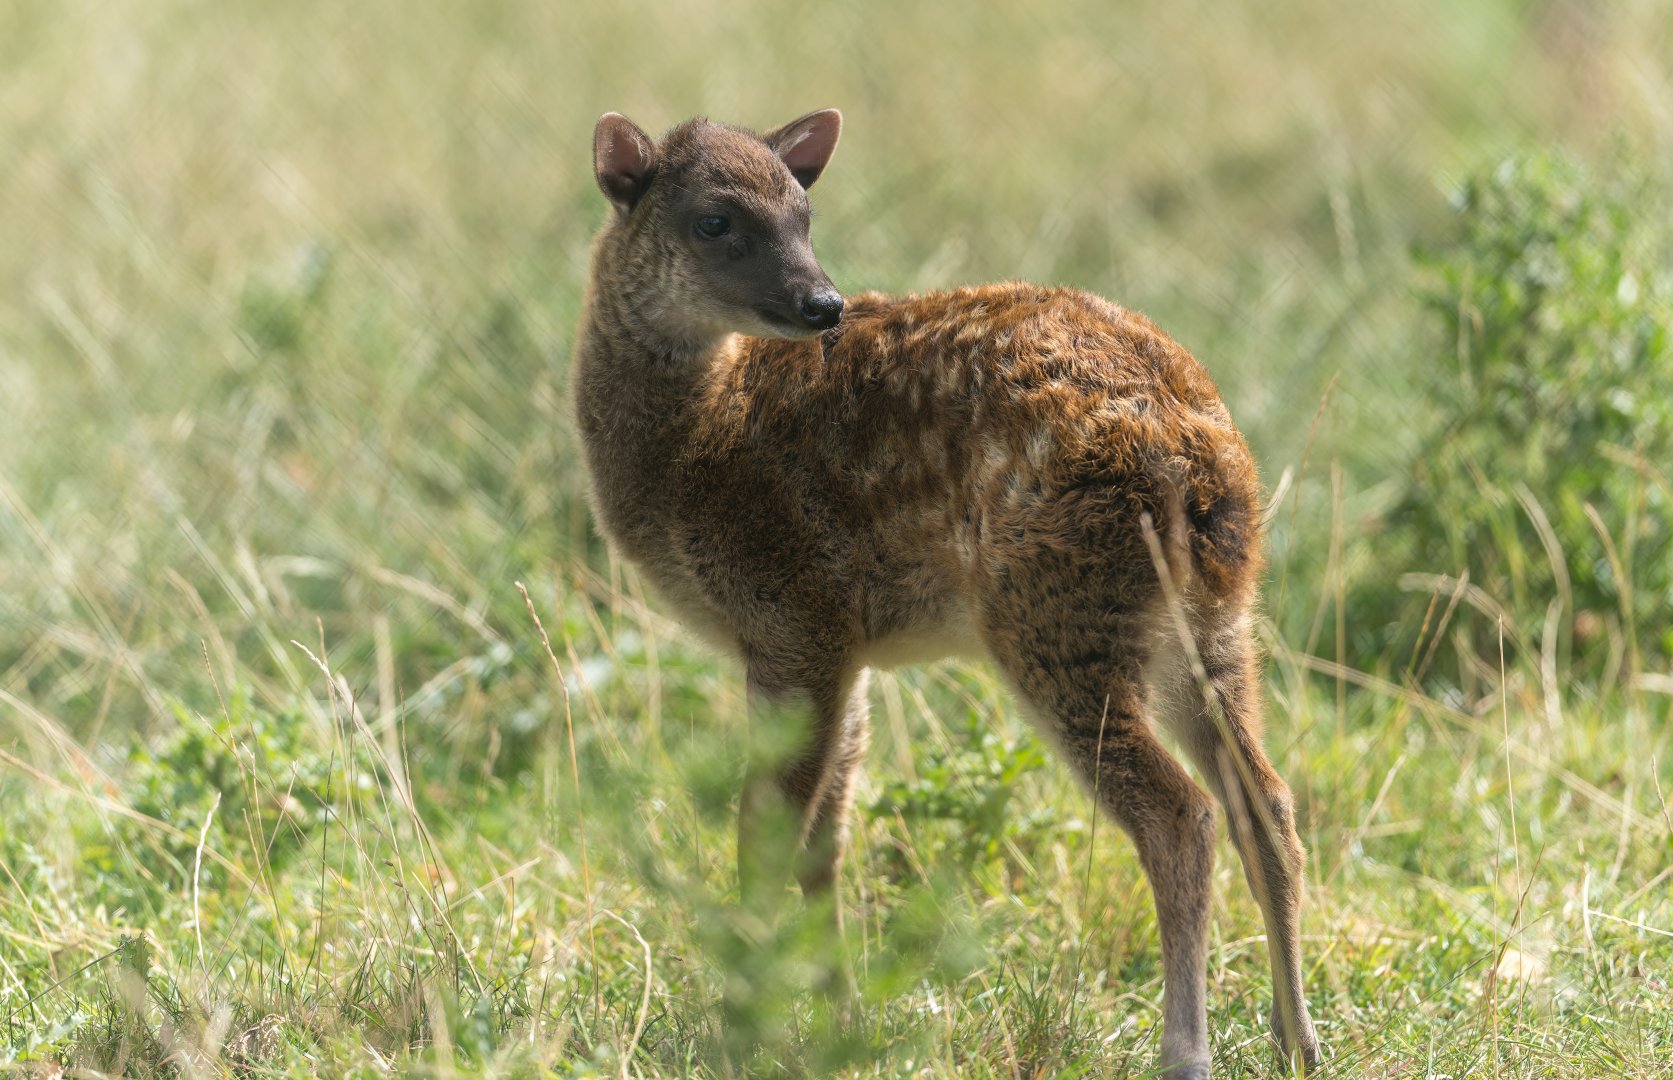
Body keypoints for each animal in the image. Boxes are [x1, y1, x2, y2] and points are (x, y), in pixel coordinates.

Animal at [572, 107, 1321, 1079]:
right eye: (714, 221)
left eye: (803, 213)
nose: (823, 304)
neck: (694, 438)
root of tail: (1198, 465)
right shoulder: (840, 644)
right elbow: (824, 842)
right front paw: (841, 1020)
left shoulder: (787, 610)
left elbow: (765, 832)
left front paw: (750, 1023)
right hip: (1212, 622)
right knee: (1263, 800)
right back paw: (1298, 1036)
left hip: (1057, 614)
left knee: (1178, 813)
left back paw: (1185, 1050)